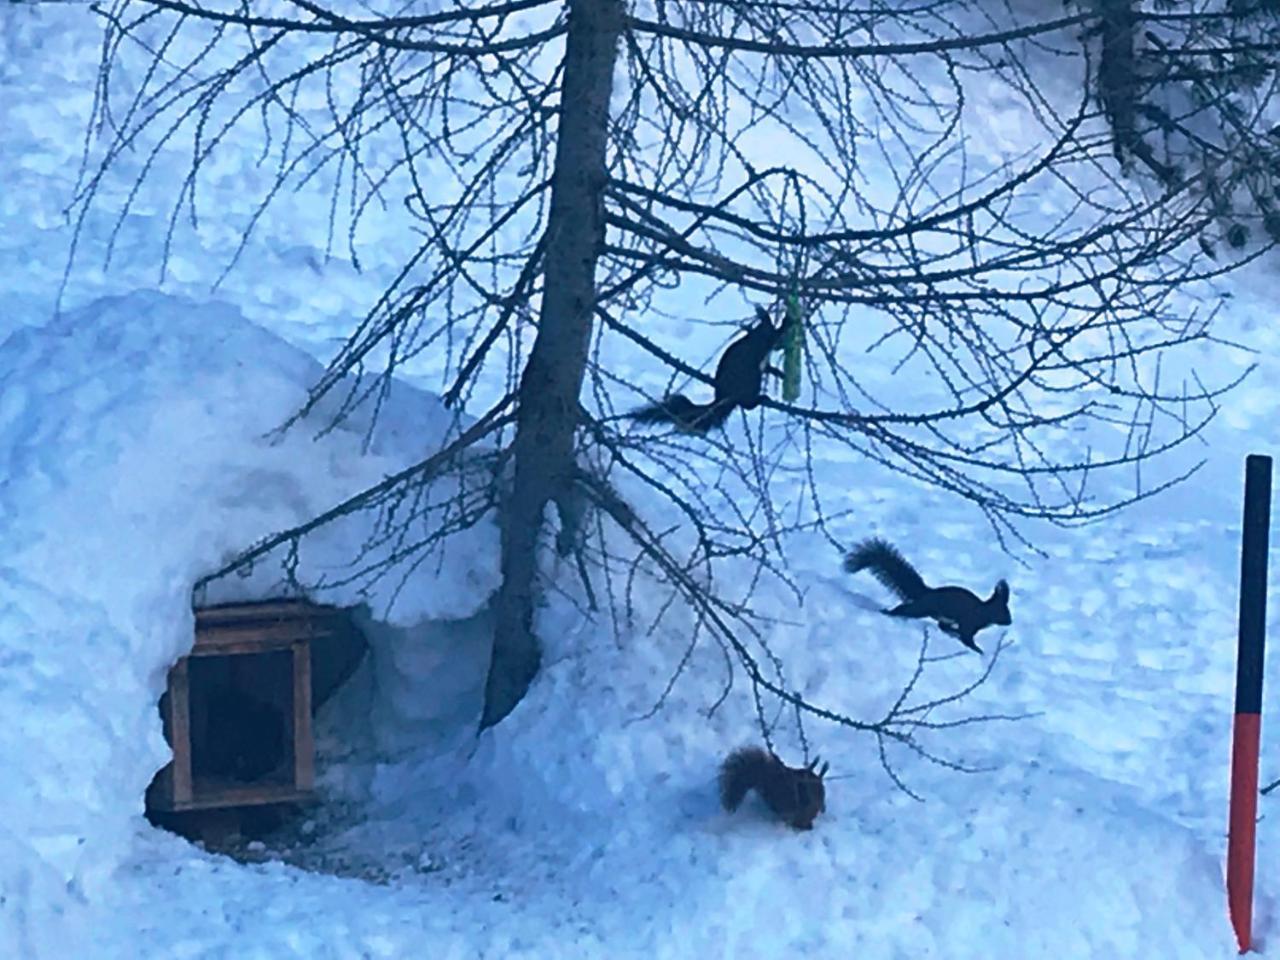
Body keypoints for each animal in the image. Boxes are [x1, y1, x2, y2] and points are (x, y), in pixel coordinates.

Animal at [629, 308, 788, 435]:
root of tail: (722, 398)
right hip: (751, 380)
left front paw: (779, 373)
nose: (780, 346)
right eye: (767, 327)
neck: (755, 337)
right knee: (746, 404)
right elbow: (774, 340)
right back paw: (758, 399)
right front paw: (787, 322)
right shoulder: (763, 343)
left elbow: (769, 367)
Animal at [844, 537, 1013, 660]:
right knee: (907, 609)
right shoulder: (969, 622)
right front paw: (978, 650)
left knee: (940, 624)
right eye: (1003, 611)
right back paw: (888, 612)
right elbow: (966, 637)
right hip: (922, 608)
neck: (983, 611)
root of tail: (927, 592)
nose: (1010, 622)